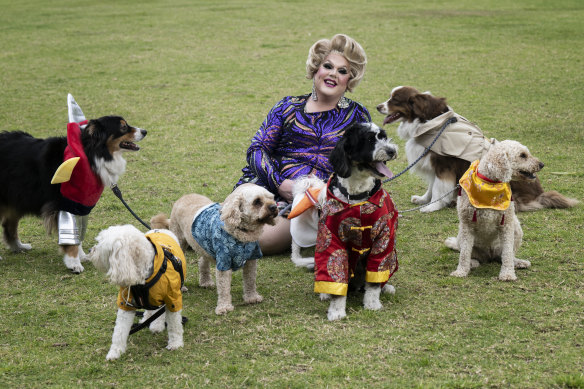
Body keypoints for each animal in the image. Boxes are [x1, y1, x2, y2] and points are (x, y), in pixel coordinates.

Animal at [87, 226, 185, 360]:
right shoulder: (126, 303)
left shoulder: (172, 299)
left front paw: (176, 343)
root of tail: (159, 229)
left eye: (100, 244)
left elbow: (174, 324)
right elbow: (119, 331)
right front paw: (115, 351)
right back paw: (148, 320)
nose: (90, 250)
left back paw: (156, 325)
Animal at [151, 183, 278, 314]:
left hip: (204, 246)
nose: (274, 207)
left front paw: (251, 297)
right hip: (180, 242)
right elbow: (224, 287)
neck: (241, 233)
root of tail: (184, 197)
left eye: (271, 198)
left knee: (202, 261)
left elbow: (250, 280)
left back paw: (205, 281)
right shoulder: (223, 261)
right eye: (257, 201)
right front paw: (224, 307)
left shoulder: (251, 259)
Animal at [376, 85, 576, 212]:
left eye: (394, 100)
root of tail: (539, 193)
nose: (378, 106)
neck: (430, 123)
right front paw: (423, 200)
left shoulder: (443, 167)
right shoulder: (433, 165)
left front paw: (431, 207)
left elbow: (439, 190)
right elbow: (432, 187)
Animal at [448, 141, 544, 280]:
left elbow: (507, 253)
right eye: (523, 155)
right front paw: (461, 271)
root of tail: (490, 255)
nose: (542, 164)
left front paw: (507, 274)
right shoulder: (467, 225)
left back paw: (518, 262)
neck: (490, 185)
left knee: (504, 255)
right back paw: (472, 263)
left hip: (516, 229)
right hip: (462, 235)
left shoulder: (507, 224)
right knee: (471, 254)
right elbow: (465, 253)